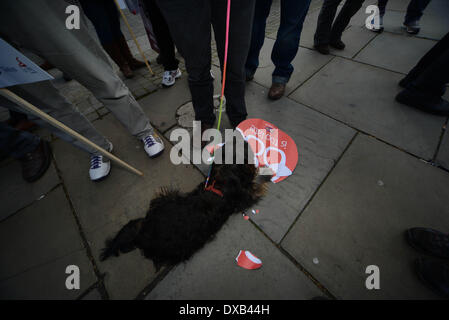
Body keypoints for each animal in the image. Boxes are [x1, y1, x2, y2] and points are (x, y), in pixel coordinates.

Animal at [100, 141, 270, 270]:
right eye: (242, 151)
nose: (246, 142)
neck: (221, 181)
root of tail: (142, 232)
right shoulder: (245, 197)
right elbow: (257, 186)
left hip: (165, 199)